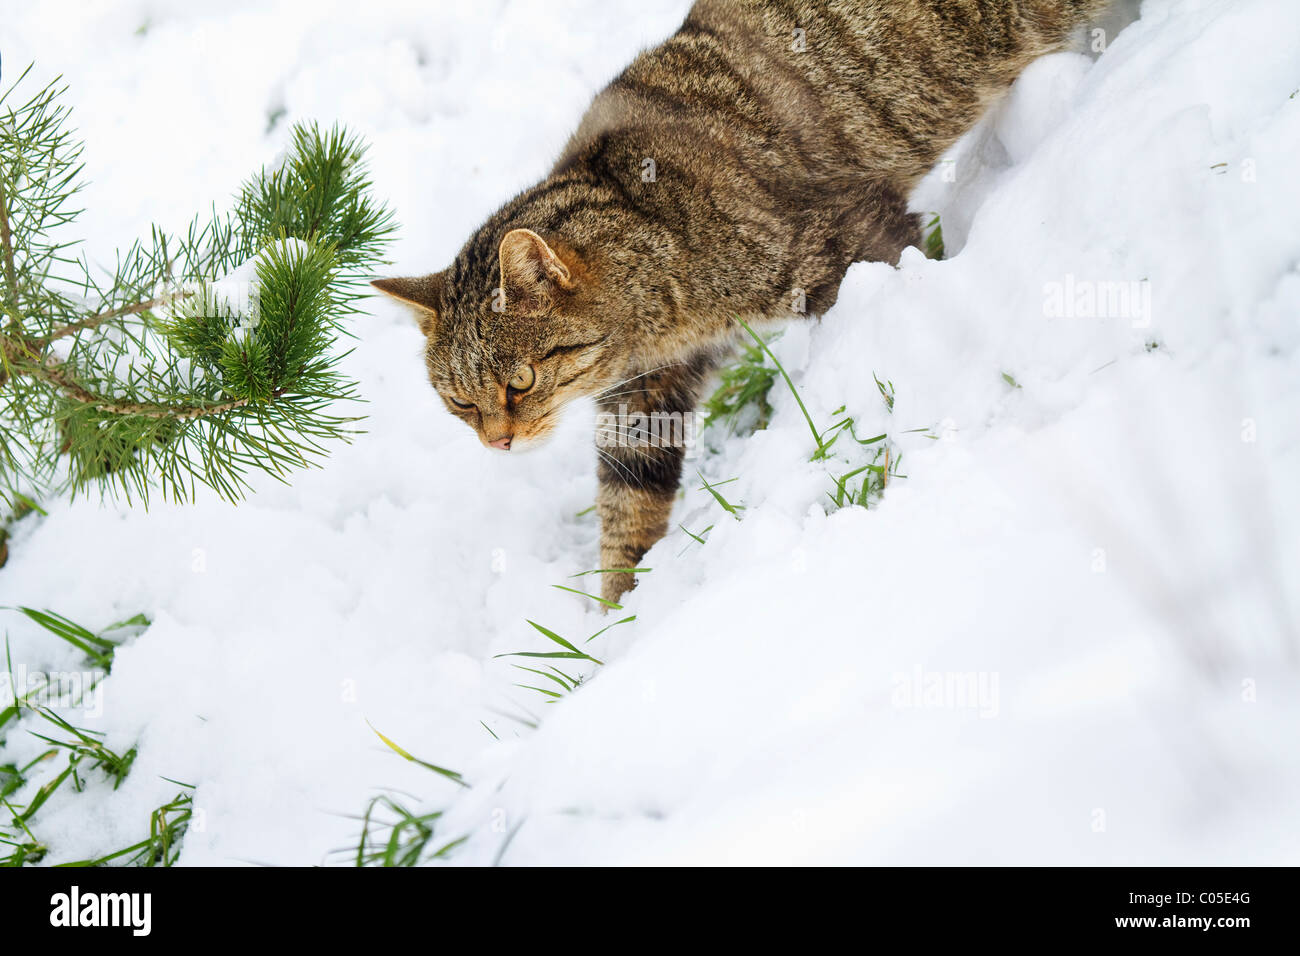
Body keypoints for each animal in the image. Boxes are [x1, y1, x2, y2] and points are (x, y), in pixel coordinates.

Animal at [374, 0, 1107, 606]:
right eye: (460, 402)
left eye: (520, 382)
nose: (497, 442)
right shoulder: (643, 397)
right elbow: (627, 507)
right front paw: (617, 624)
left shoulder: (848, 235)